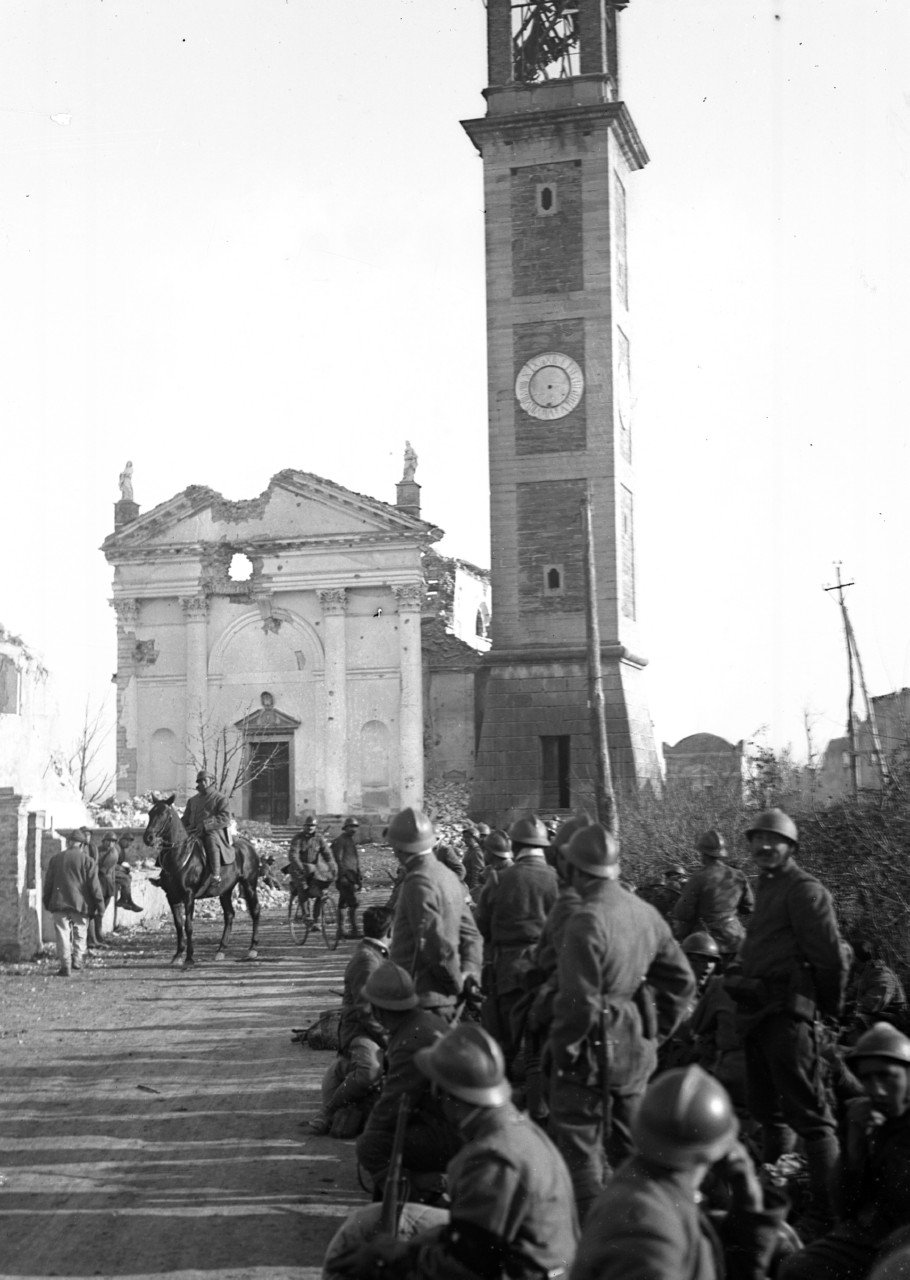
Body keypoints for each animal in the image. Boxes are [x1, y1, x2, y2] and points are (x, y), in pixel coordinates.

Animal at [142, 793, 261, 962]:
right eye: (150, 813)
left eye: (164, 814)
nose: (148, 838)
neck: (179, 855)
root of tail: (248, 845)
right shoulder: (171, 897)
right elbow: (178, 925)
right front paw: (178, 954)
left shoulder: (189, 895)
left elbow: (188, 925)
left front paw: (189, 957)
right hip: (225, 890)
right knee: (229, 915)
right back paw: (221, 949)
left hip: (249, 884)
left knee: (255, 910)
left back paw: (252, 948)